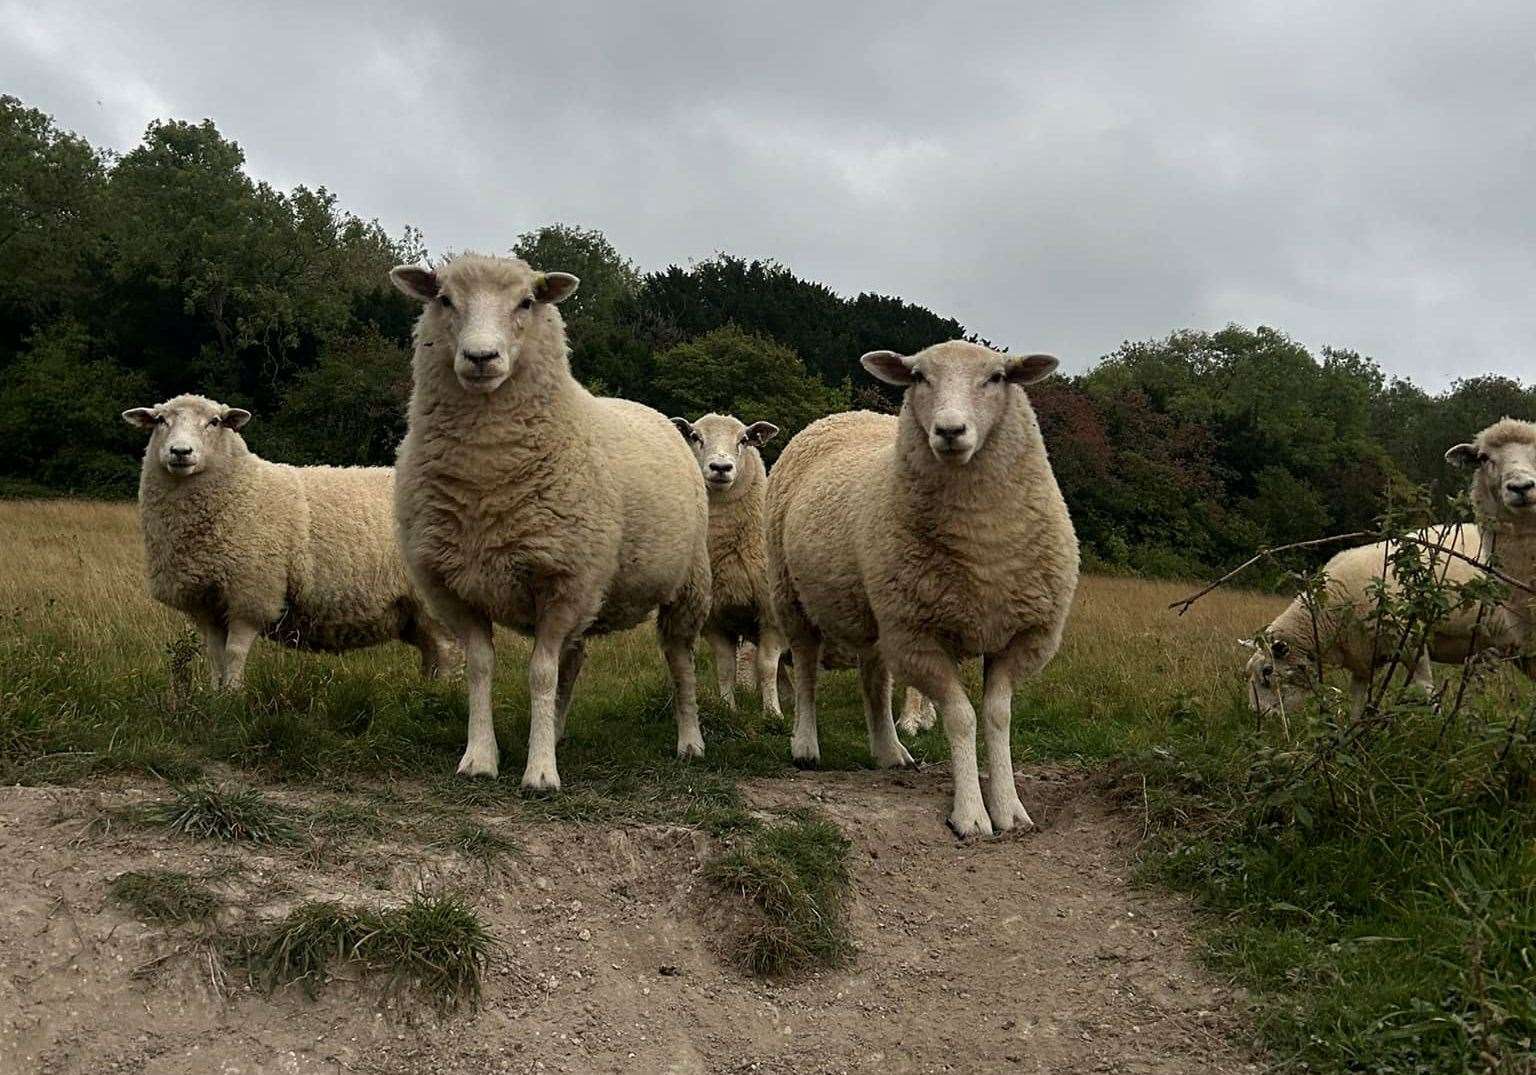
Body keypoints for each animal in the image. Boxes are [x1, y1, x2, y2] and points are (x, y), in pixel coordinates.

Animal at [119, 396, 454, 688]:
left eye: (214, 422)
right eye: (160, 420)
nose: (180, 451)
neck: (242, 488)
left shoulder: (252, 592)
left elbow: (234, 653)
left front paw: (232, 696)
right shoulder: (206, 600)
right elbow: (215, 654)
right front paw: (214, 695)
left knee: (446, 649)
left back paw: (442, 694)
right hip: (411, 609)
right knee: (432, 651)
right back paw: (427, 690)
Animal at [390, 254, 712, 786]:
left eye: (526, 302)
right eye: (444, 299)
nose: (480, 357)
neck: (485, 478)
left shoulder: (564, 581)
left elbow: (540, 672)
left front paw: (540, 772)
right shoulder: (452, 587)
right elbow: (482, 668)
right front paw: (480, 757)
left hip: (686, 585)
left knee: (681, 661)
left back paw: (690, 741)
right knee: (574, 659)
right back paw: (557, 730)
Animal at [672, 414, 792, 718]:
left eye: (744, 440)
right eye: (695, 436)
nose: (720, 468)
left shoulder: (771, 615)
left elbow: (766, 665)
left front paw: (772, 714)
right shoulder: (715, 618)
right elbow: (725, 667)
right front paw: (728, 708)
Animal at [768, 339, 1081, 835]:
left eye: (997, 377)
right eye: (918, 377)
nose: (950, 430)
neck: (982, 548)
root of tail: (843, 415)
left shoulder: (1022, 637)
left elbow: (998, 716)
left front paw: (1009, 807)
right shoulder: (919, 636)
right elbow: (962, 717)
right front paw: (971, 814)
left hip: (877, 607)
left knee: (874, 677)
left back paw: (888, 750)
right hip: (793, 596)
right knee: (804, 671)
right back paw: (805, 745)